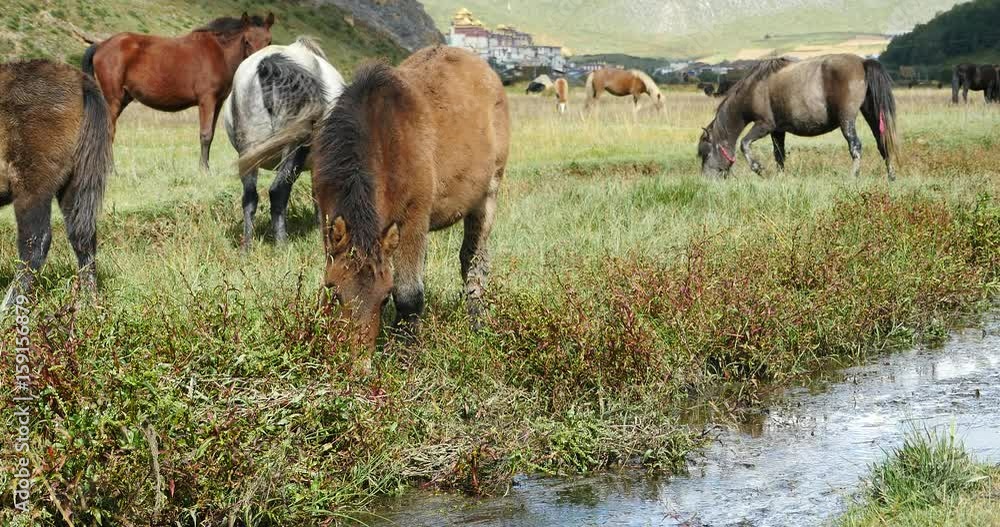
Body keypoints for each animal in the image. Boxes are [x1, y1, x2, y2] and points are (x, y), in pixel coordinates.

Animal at [0, 61, 113, 307]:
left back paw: (8, 306)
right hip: (72, 187)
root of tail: (80, 81)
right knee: (83, 239)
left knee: (35, 243)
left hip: (32, 189)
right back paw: (90, 304)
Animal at [82, 13, 275, 171]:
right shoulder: (207, 100)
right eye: (247, 41)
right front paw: (203, 170)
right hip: (113, 100)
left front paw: (205, 167)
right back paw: (111, 171)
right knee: (108, 131)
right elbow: (205, 134)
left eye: (269, 41)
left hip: (122, 99)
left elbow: (211, 135)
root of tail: (101, 45)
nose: (261, 68)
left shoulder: (218, 102)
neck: (219, 52)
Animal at [222, 36, 345, 250]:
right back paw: (282, 245)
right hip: (294, 147)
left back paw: (247, 247)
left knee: (250, 198)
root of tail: (268, 65)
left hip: (248, 150)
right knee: (278, 192)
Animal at [239, 46, 509, 354]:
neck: (383, 139)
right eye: (334, 292)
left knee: (474, 261)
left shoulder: (413, 219)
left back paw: (478, 321)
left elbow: (409, 294)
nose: (357, 360)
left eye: (383, 299)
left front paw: (405, 350)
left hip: (487, 197)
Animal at [697, 55, 899, 181]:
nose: (706, 180)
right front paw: (780, 178)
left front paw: (758, 168)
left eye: (705, 153)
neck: (755, 88)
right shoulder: (777, 131)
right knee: (882, 143)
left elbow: (744, 143)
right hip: (872, 114)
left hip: (847, 120)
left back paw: (853, 176)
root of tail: (863, 62)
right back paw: (891, 177)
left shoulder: (764, 125)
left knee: (855, 146)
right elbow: (779, 155)